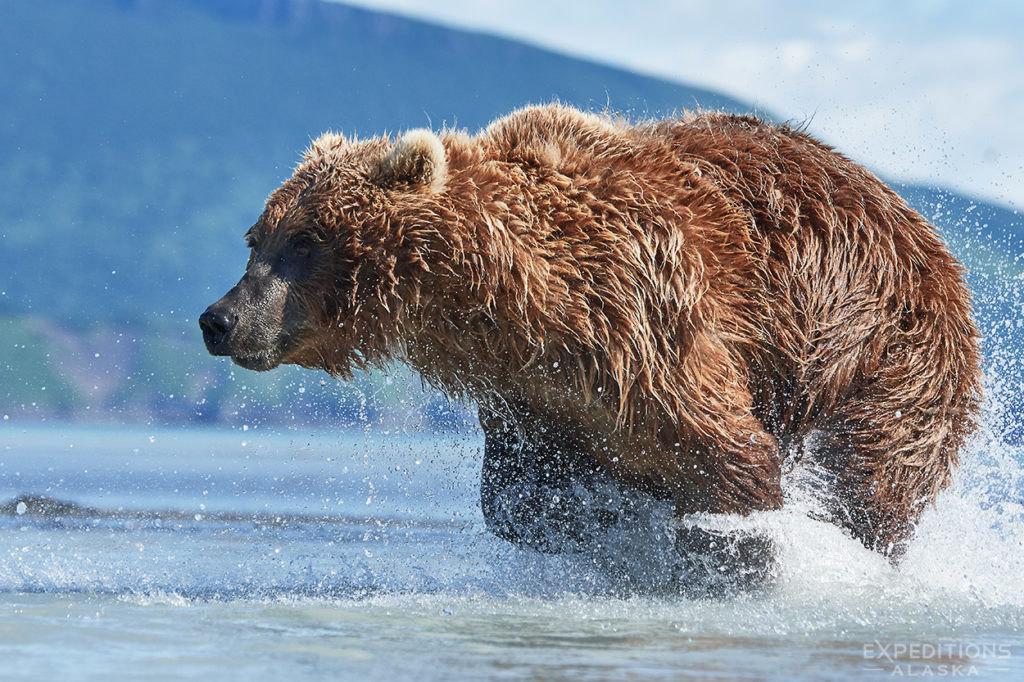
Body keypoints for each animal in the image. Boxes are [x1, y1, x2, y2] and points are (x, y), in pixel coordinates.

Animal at [201, 103, 983, 585]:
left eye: (306, 239)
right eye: (256, 237)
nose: (220, 318)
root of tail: (933, 244)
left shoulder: (648, 319)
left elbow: (731, 460)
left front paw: (716, 546)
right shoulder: (534, 389)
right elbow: (517, 493)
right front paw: (602, 516)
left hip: (879, 348)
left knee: (870, 473)